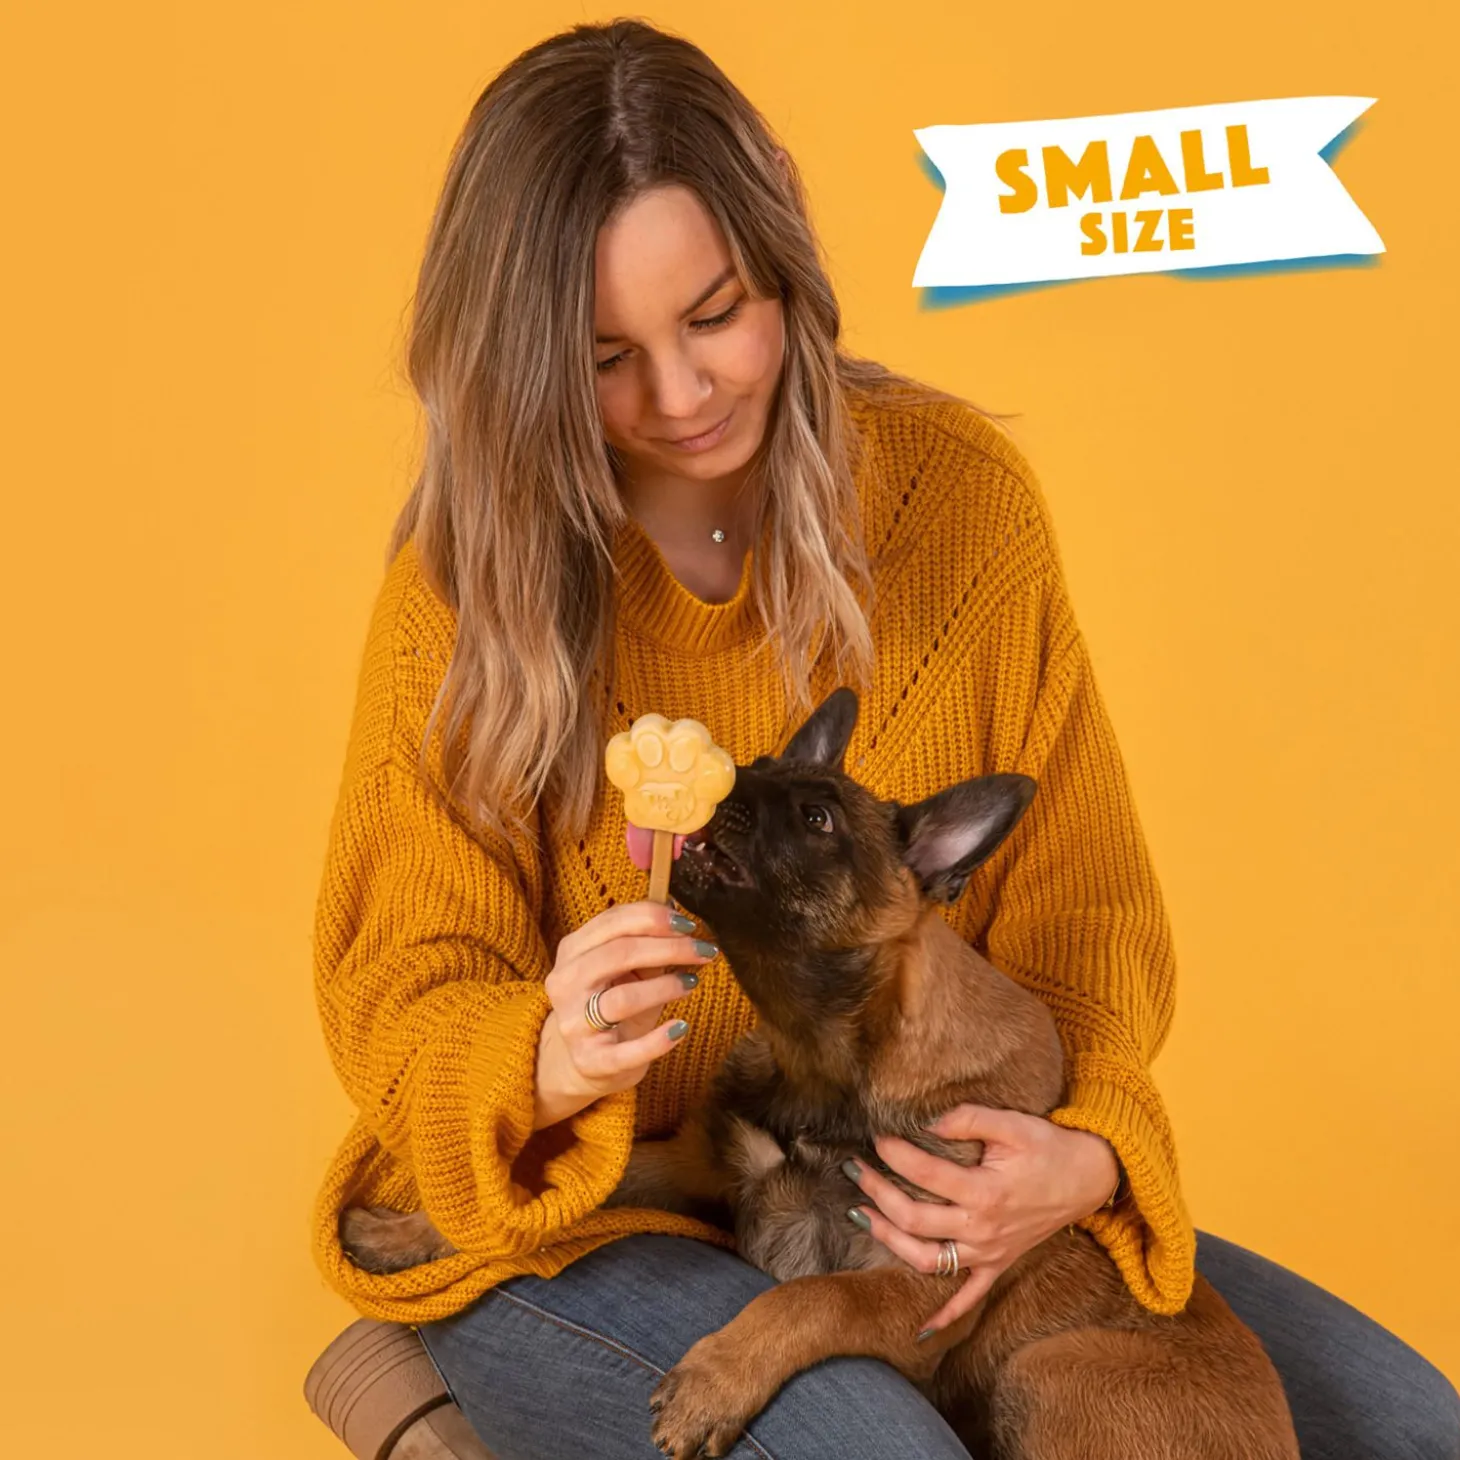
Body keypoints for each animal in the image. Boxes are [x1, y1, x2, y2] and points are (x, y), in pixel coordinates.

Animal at [341, 687, 1300, 1460]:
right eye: (760, 767)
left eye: (816, 822)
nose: (724, 778)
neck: (826, 1060)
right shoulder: (692, 1164)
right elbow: (561, 1189)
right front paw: (409, 1234)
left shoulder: (906, 1288)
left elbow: (806, 1303)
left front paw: (713, 1381)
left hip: (1050, 1370)